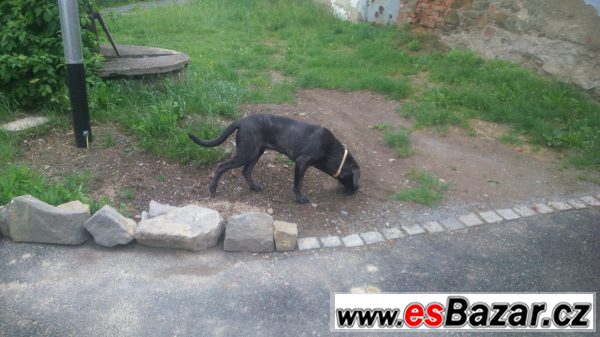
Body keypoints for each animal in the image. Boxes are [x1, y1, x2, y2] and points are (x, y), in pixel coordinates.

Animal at [188, 113, 358, 202]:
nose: (357, 190)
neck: (331, 149)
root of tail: (241, 121)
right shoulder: (301, 162)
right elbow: (298, 183)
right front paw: (300, 199)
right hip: (245, 154)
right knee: (221, 167)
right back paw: (212, 190)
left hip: (256, 153)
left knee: (246, 171)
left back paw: (254, 187)